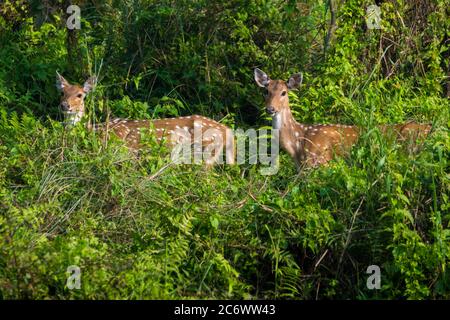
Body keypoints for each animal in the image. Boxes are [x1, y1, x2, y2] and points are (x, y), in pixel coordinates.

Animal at [56, 72, 236, 165]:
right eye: (62, 92)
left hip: (206, 151)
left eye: (80, 95)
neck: (95, 130)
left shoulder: (126, 151)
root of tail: (227, 130)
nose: (65, 106)